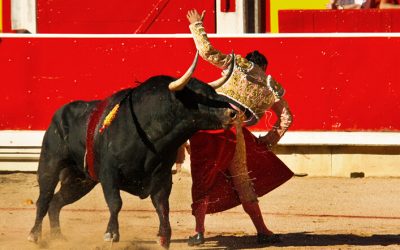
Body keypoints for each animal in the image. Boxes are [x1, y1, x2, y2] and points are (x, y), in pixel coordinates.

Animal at [28, 52, 238, 248]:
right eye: (199, 96)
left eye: (213, 93)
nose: (233, 112)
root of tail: (59, 113)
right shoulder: (109, 172)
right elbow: (115, 202)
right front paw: (111, 234)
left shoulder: (162, 176)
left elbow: (162, 205)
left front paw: (164, 237)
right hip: (50, 163)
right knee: (44, 199)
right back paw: (34, 235)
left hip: (80, 180)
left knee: (56, 202)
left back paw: (58, 237)